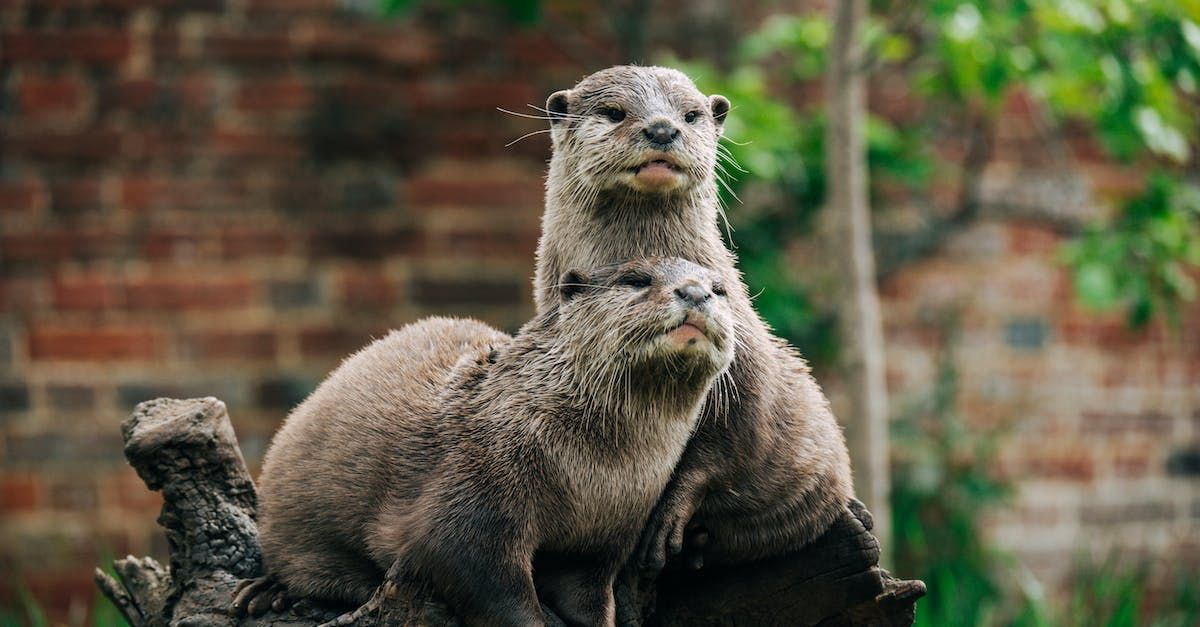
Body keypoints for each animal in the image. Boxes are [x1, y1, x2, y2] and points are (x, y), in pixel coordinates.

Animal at [235, 257, 734, 626]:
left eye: (721, 289)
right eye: (636, 280)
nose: (695, 291)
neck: (594, 473)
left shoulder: (606, 539)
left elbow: (589, 599)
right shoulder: (477, 490)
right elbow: (474, 571)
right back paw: (266, 592)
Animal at [535, 65, 854, 573]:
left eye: (690, 114)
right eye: (614, 112)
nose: (663, 128)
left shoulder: (746, 366)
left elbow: (730, 441)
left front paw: (666, 523)